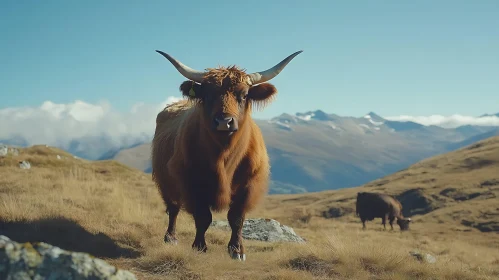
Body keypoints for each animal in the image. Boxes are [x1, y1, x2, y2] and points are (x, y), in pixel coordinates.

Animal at [150, 49, 302, 262]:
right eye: (208, 94)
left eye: (244, 95)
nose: (224, 122)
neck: (223, 157)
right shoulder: (191, 182)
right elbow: (203, 217)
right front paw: (199, 247)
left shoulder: (248, 184)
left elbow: (236, 218)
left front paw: (237, 250)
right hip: (165, 180)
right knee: (173, 208)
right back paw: (170, 238)